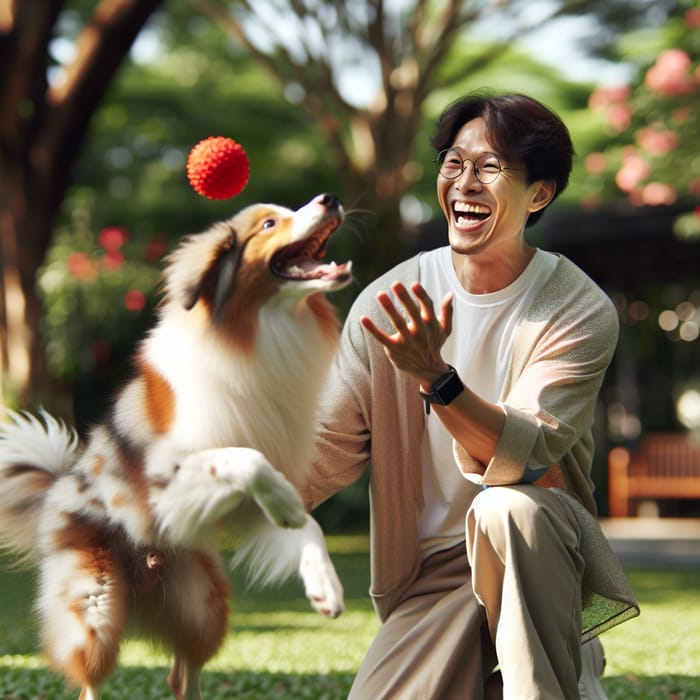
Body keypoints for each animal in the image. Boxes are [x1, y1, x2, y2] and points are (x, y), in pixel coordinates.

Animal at [0, 193, 350, 700]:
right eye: (269, 223)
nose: (330, 199)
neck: (259, 331)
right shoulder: (163, 480)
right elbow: (246, 459)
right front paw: (285, 501)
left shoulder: (249, 503)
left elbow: (308, 526)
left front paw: (324, 582)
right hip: (95, 610)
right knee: (90, 680)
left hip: (204, 603)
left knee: (182, 673)